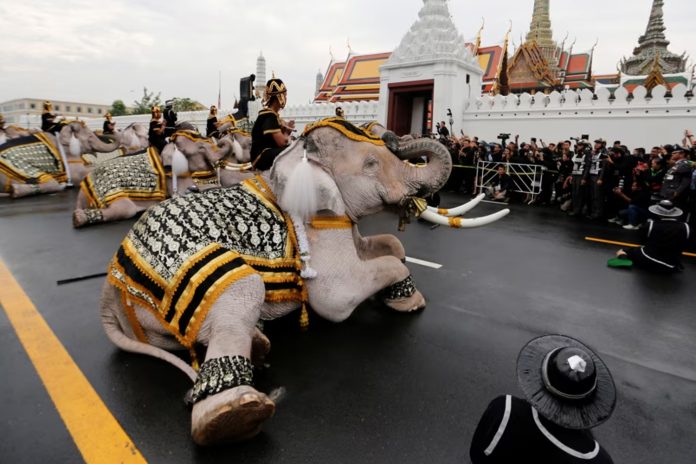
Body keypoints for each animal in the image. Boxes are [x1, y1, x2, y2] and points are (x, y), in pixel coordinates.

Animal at [100, 118, 508, 446]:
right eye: (371, 164)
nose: (393, 133)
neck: (296, 158)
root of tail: (108, 292)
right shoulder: (316, 225)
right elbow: (337, 297)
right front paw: (409, 302)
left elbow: (389, 247)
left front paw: (396, 287)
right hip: (187, 274)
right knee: (243, 289)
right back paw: (234, 415)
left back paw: (259, 342)